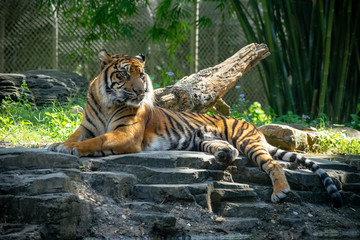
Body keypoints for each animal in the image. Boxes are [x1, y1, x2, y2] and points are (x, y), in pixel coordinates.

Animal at [48, 49, 344, 207]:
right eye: (123, 74)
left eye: (141, 75)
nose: (141, 90)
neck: (109, 101)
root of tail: (253, 126)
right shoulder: (87, 126)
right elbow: (77, 136)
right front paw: (57, 144)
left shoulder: (127, 134)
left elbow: (97, 141)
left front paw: (70, 149)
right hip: (205, 140)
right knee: (229, 151)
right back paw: (224, 155)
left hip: (247, 141)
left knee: (271, 163)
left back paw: (280, 191)